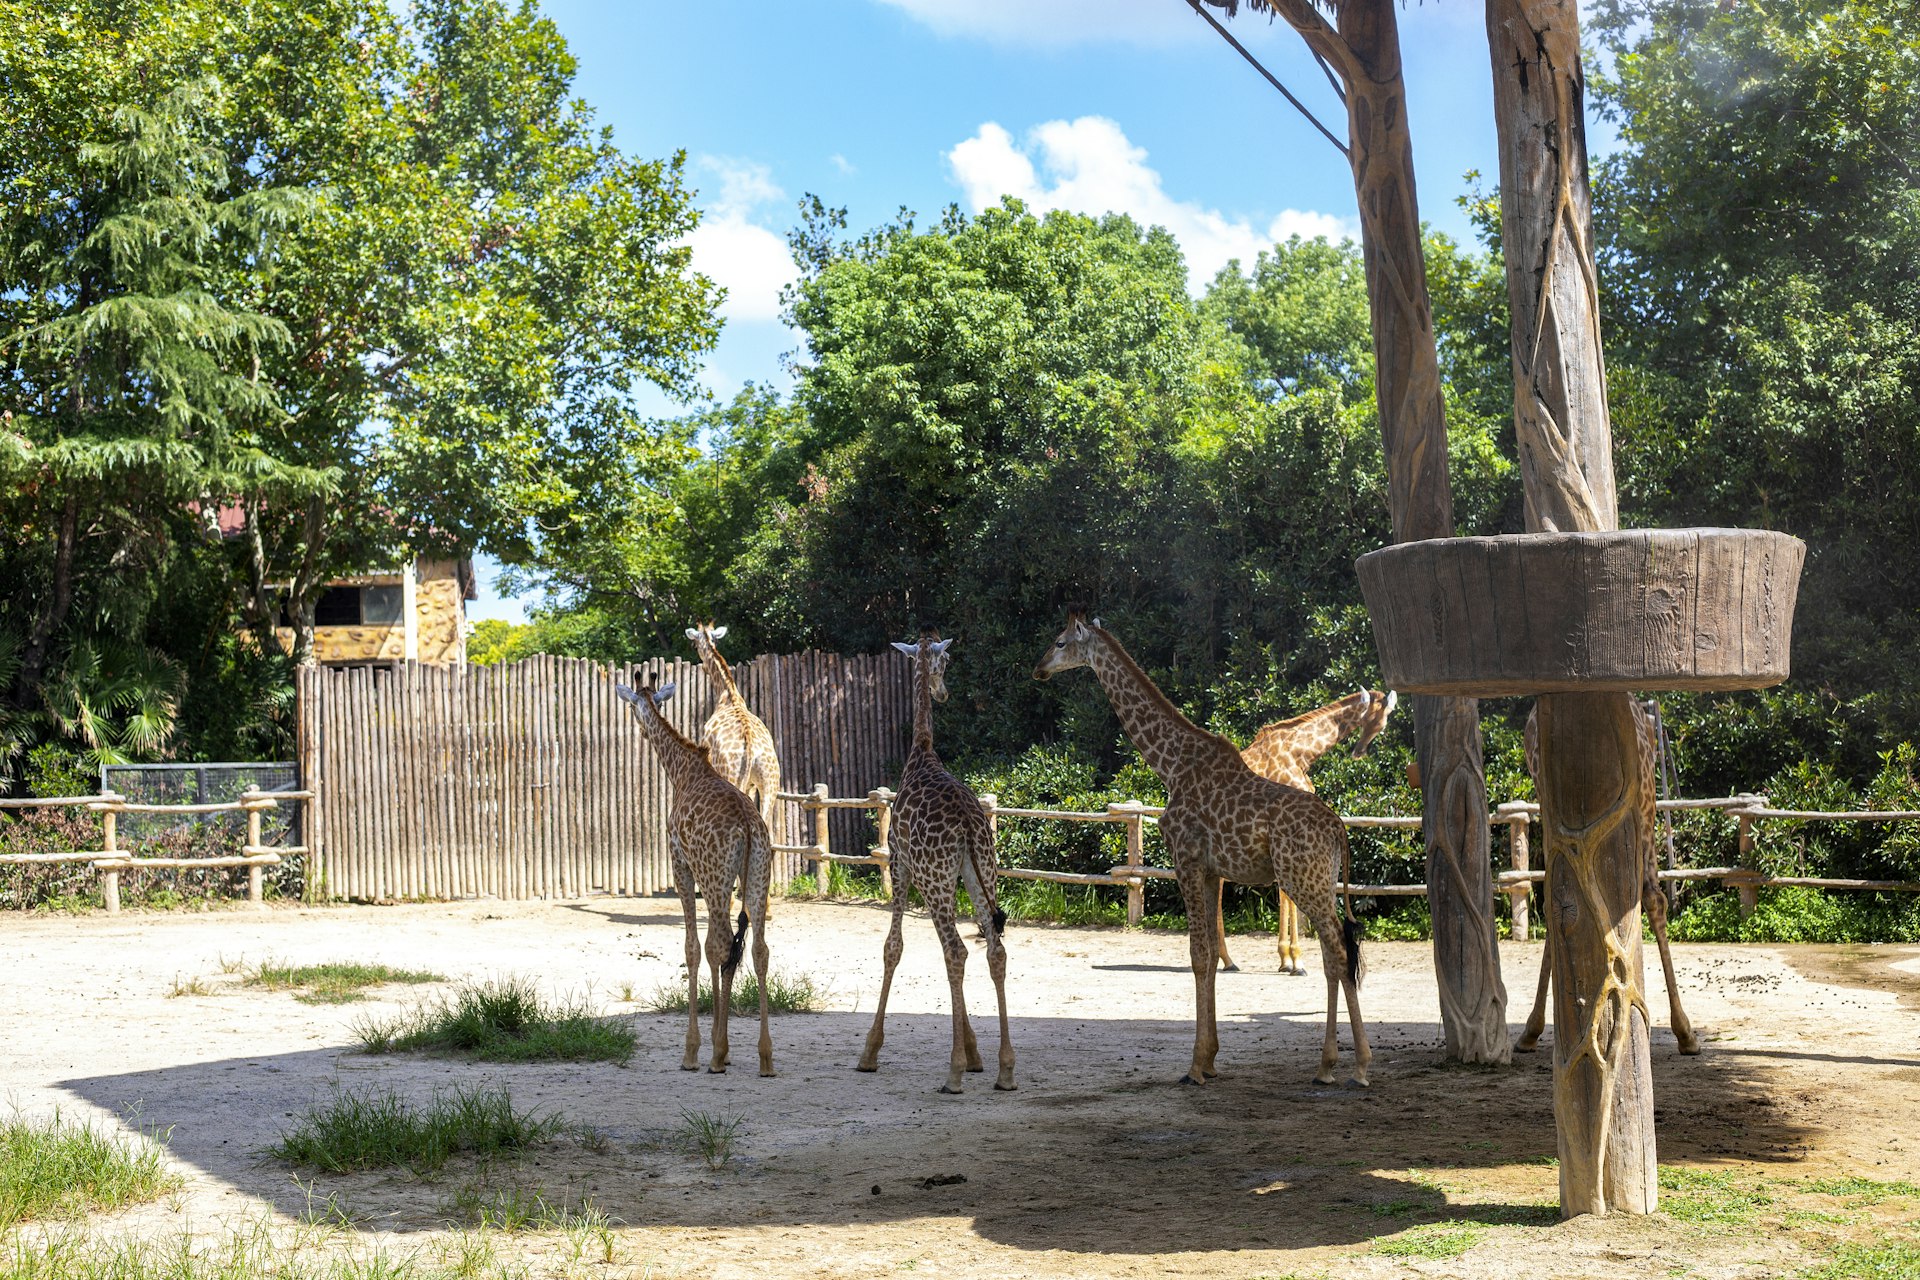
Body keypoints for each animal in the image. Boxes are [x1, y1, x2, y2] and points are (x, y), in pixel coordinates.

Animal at [615, 678, 776, 1077]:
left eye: (632, 705)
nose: (642, 730)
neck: (682, 770)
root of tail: (748, 827)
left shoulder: (681, 864)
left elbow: (693, 948)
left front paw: (694, 1050)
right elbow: (716, 949)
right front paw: (725, 1046)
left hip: (717, 875)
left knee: (722, 943)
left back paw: (716, 1055)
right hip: (756, 875)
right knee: (759, 949)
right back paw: (765, 1057)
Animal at [685, 623, 782, 842]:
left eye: (694, 644)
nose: (703, 665)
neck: (728, 695)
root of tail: (752, 749)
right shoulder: (753, 785)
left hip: (732, 775)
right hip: (770, 781)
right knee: (766, 827)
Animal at [857, 631, 1016, 1094]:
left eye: (945, 663)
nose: (942, 691)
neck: (921, 752)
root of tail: (967, 823)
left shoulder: (901, 866)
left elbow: (892, 947)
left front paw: (869, 1052)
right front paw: (978, 1054)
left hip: (935, 877)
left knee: (957, 951)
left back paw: (953, 1073)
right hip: (981, 871)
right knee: (994, 950)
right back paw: (1005, 1071)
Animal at [1035, 611, 1371, 1087]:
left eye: (1061, 642)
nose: (1038, 668)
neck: (1170, 763)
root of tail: (1338, 829)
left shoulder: (1187, 861)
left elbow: (1196, 955)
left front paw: (1194, 1066)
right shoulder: (1211, 870)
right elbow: (1211, 956)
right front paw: (1211, 1059)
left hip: (1302, 879)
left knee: (1339, 950)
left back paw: (1349, 1065)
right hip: (1319, 882)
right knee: (1335, 950)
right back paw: (1335, 1064)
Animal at [1219, 688, 1399, 975]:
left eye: (1382, 723)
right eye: (1369, 718)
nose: (1358, 752)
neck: (1300, 753)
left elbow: (1284, 893)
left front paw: (1285, 959)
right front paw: (1295, 960)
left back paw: (1226, 958)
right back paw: (1226, 958)